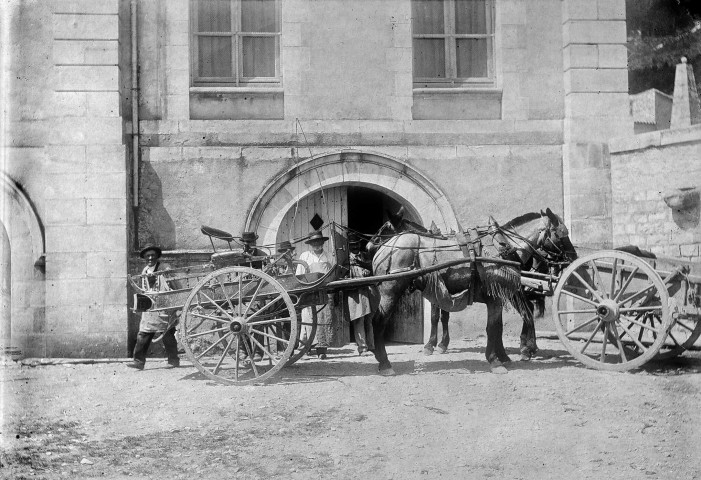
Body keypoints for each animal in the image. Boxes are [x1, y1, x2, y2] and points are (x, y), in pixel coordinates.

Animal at [366, 207, 576, 376]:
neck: (502, 246)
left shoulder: (495, 296)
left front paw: (500, 356)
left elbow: (495, 327)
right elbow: (490, 328)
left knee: (527, 312)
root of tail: (386, 249)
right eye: (561, 234)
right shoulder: (491, 296)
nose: (573, 257)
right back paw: (384, 363)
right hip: (391, 291)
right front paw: (495, 360)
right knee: (378, 322)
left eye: (384, 228)